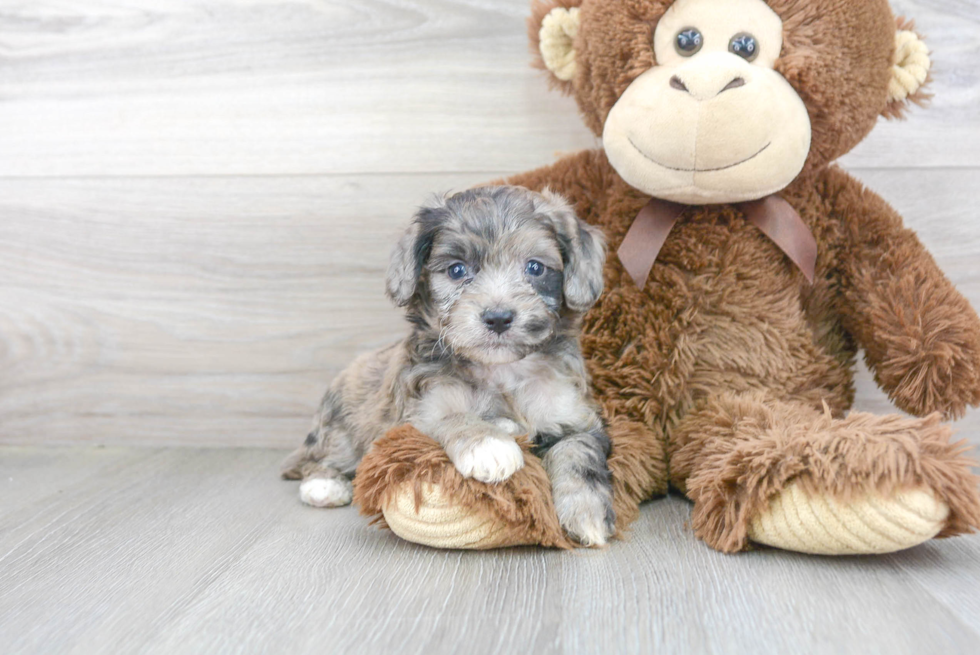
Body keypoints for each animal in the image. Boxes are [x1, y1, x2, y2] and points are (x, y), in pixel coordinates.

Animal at [284, 186, 616, 548]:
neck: (501, 372)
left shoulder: (574, 417)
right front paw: (490, 445)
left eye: (535, 267)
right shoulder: (419, 412)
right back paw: (325, 486)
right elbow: (454, 416)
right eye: (457, 270)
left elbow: (578, 454)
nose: (498, 317)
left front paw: (586, 513)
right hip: (342, 429)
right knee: (321, 460)